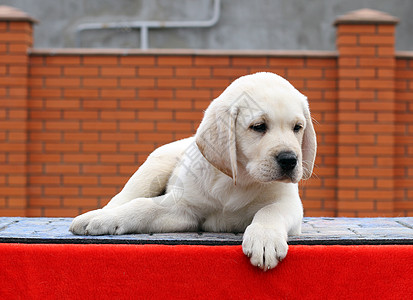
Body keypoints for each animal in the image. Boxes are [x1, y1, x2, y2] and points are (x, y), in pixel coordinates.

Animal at [71, 72, 316, 270]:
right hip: (153, 169)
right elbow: (142, 206)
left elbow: (270, 210)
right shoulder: (183, 207)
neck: (236, 182)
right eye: (258, 127)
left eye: (297, 128)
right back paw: (99, 214)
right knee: (125, 197)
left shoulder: (289, 203)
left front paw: (264, 239)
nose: (290, 160)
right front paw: (104, 219)